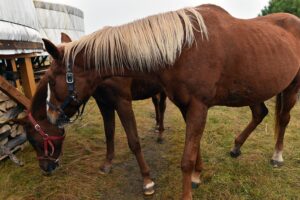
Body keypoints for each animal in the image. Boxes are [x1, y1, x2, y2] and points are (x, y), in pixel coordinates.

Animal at [42, 3, 300, 199]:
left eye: (52, 81)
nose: (52, 116)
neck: (183, 48)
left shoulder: (197, 106)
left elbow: (186, 158)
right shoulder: (188, 107)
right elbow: (195, 149)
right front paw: (197, 175)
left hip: (291, 87)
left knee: (283, 119)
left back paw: (277, 156)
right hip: (252, 91)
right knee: (260, 113)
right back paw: (236, 147)